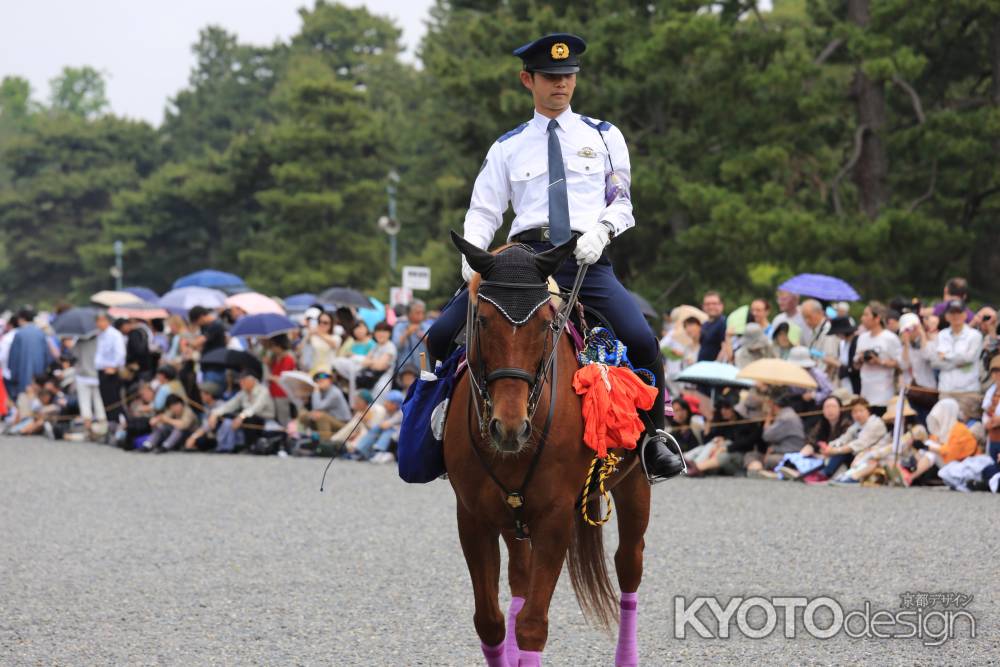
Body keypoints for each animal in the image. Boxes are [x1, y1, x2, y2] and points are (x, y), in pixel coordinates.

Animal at [444, 232, 648, 664]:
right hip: (512, 518)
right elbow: (490, 621)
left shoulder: (554, 518)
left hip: (635, 484)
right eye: (482, 320)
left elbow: (532, 626)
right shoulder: (472, 517)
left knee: (629, 564)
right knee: (519, 580)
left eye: (544, 325)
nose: (509, 427)